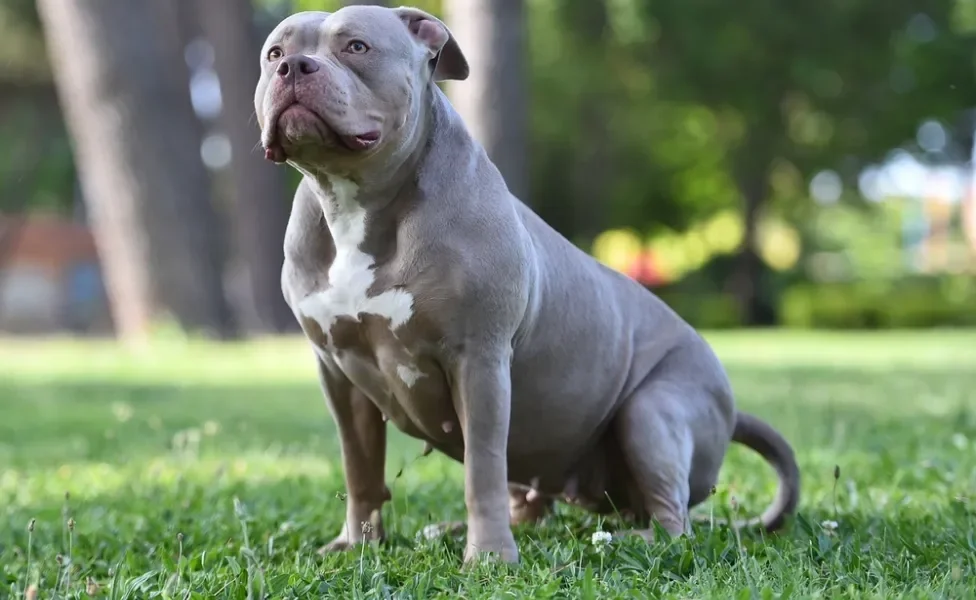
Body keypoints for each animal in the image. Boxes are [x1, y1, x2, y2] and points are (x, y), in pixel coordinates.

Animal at [255, 5, 796, 568]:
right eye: (274, 52)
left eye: (356, 47)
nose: (293, 66)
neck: (355, 203)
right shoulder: (339, 374)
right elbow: (360, 467)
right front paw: (357, 545)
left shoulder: (479, 360)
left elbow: (482, 469)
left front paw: (489, 557)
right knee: (536, 503)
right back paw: (456, 530)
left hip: (654, 409)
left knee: (673, 521)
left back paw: (626, 540)